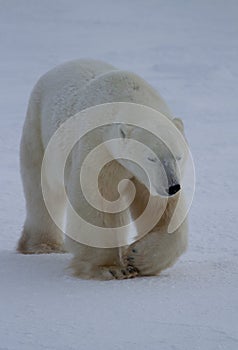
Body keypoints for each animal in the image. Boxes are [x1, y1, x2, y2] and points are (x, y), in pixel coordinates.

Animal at [17, 59, 188, 278]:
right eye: (150, 157)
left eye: (178, 156)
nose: (173, 186)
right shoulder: (99, 147)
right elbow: (96, 201)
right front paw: (111, 268)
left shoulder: (148, 176)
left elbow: (161, 208)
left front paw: (138, 258)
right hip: (39, 131)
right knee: (42, 190)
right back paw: (42, 245)